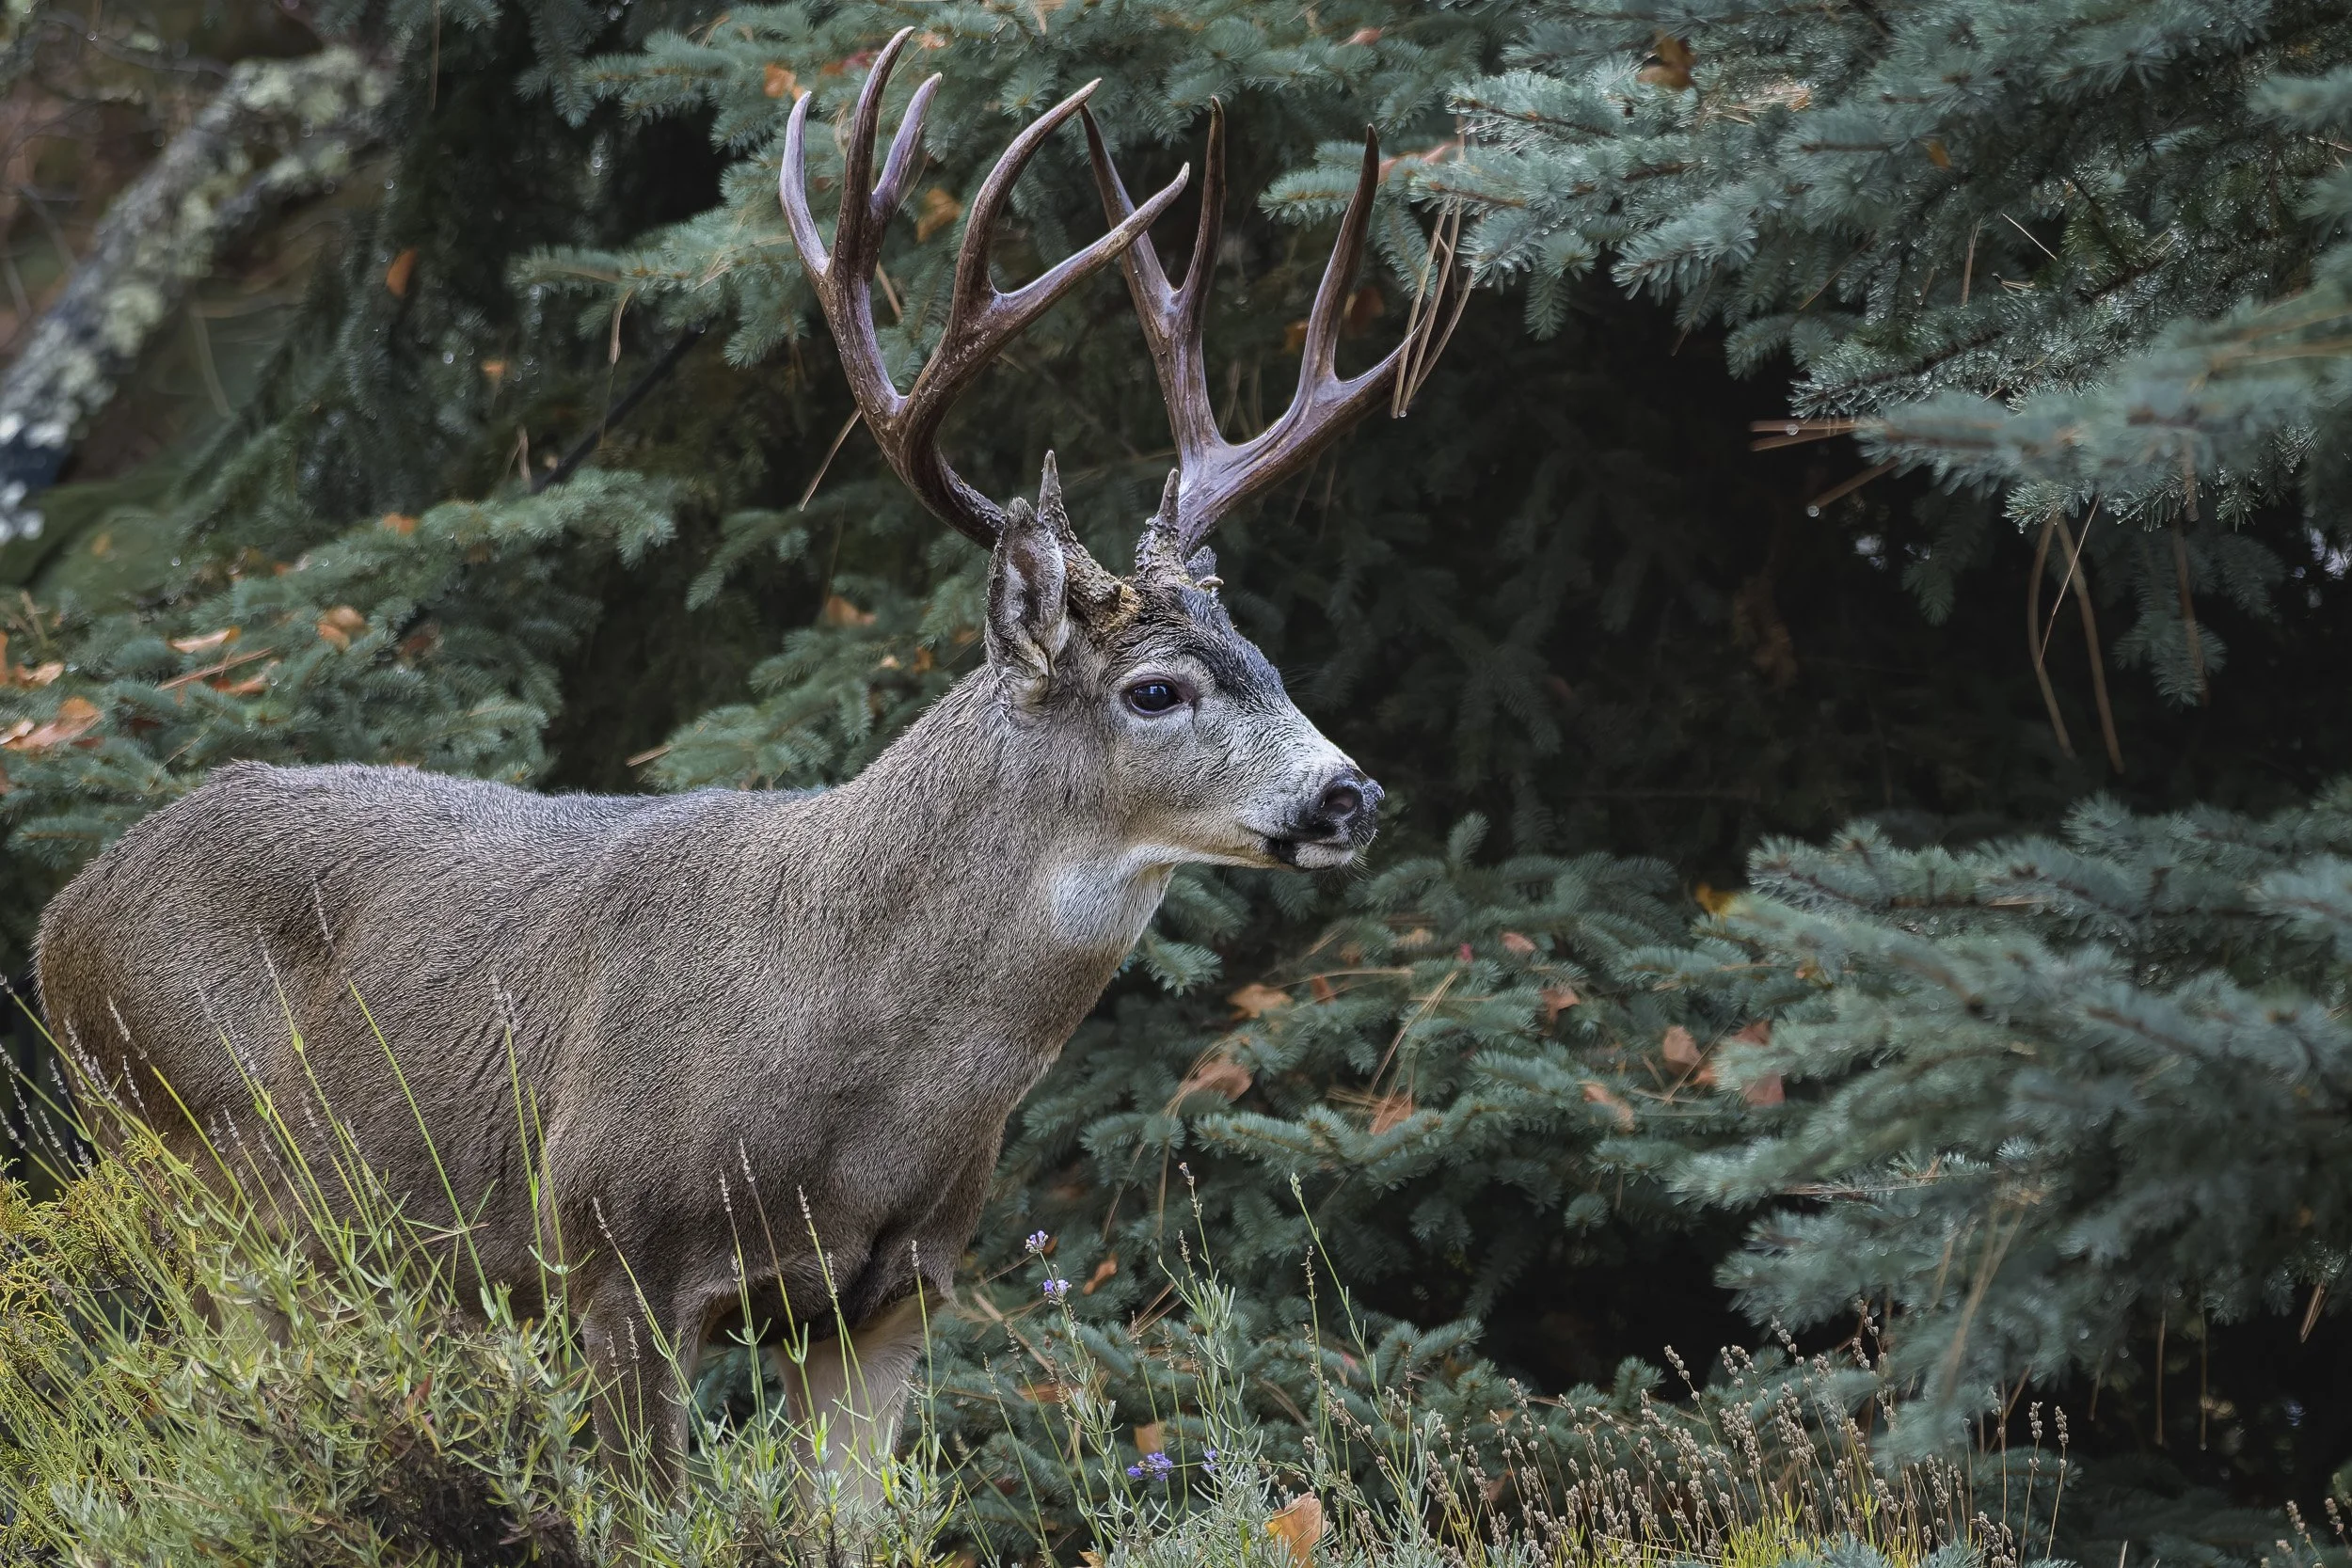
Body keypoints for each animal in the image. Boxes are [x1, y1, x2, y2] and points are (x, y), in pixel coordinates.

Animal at [36, 29, 1448, 1498]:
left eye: (1267, 654)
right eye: (1155, 689)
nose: (1349, 792)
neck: (854, 1069)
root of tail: (64, 915)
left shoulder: (897, 1292)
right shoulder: (615, 1254)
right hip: (191, 1171)